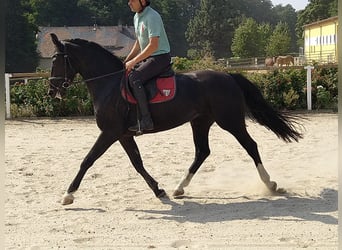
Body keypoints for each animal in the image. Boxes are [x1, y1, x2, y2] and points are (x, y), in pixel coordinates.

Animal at [48, 33, 302, 205]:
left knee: (251, 145)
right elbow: (137, 163)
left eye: (56, 60)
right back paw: (180, 188)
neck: (109, 84)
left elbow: (87, 160)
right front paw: (158, 190)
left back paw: (270, 184)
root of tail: (228, 76)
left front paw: (68, 194)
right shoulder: (123, 135)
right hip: (200, 122)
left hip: (230, 121)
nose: (52, 92)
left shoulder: (109, 132)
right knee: (202, 152)